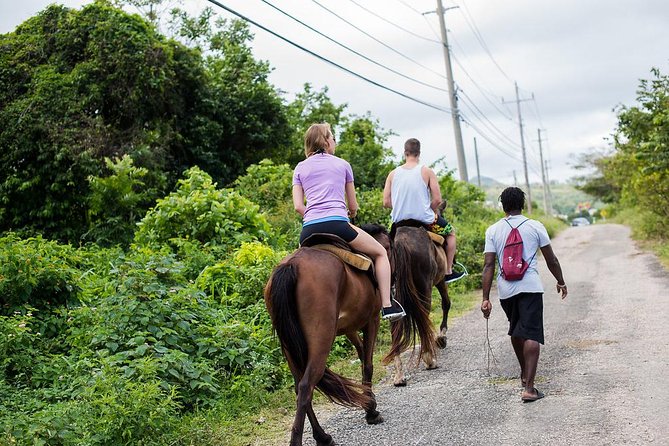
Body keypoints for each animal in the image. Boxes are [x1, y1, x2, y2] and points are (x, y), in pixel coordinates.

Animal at [264, 239, 384, 446]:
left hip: (290, 347)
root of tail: (292, 265)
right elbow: (368, 364)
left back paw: (323, 437)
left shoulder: (349, 327)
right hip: (321, 338)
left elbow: (362, 354)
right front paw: (371, 410)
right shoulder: (372, 320)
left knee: (299, 387)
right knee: (306, 386)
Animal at [366, 225, 454, 386]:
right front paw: (441, 338)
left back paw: (399, 374)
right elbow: (446, 303)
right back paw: (429, 358)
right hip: (425, 288)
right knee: (424, 318)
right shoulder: (439, 280)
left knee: (395, 323)